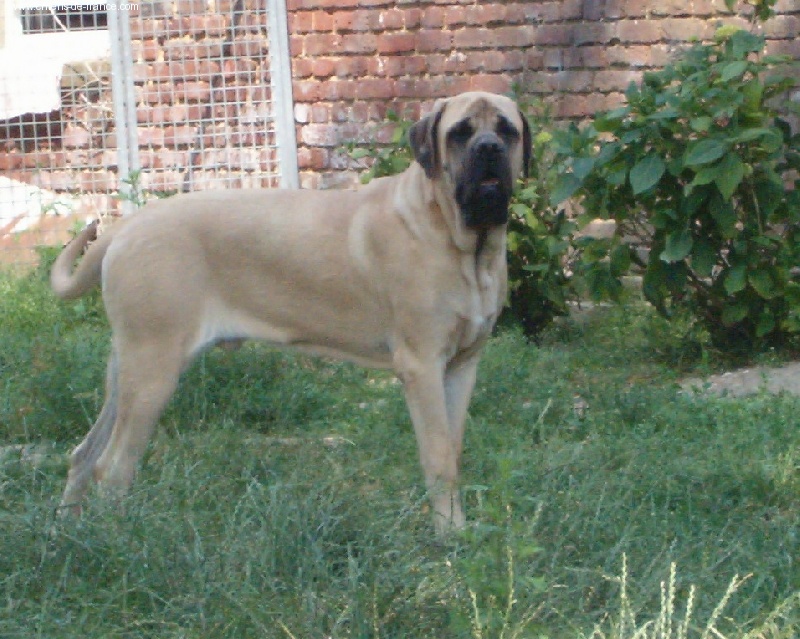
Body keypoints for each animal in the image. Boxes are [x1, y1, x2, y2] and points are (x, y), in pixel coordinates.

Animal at [50, 89, 532, 528]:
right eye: (460, 132)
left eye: (506, 130)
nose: (488, 149)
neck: (462, 242)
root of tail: (127, 226)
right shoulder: (423, 365)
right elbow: (438, 456)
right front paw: (450, 538)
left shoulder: (461, 366)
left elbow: (454, 448)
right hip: (154, 369)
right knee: (111, 468)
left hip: (128, 369)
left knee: (83, 454)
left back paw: (67, 531)